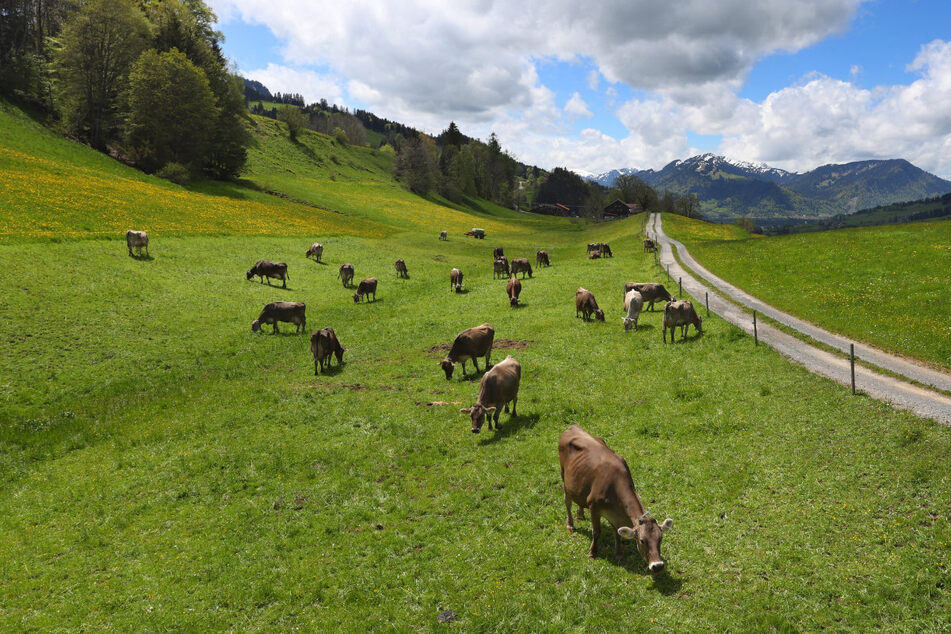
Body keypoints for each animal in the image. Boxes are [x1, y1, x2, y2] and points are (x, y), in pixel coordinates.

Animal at [560, 424, 672, 568]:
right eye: (642, 540)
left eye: (660, 538)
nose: (658, 565)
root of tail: (573, 426)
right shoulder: (594, 507)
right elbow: (596, 532)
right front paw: (592, 553)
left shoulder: (614, 513)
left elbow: (617, 533)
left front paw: (619, 555)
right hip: (564, 477)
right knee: (567, 502)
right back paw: (570, 525)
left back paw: (580, 513)